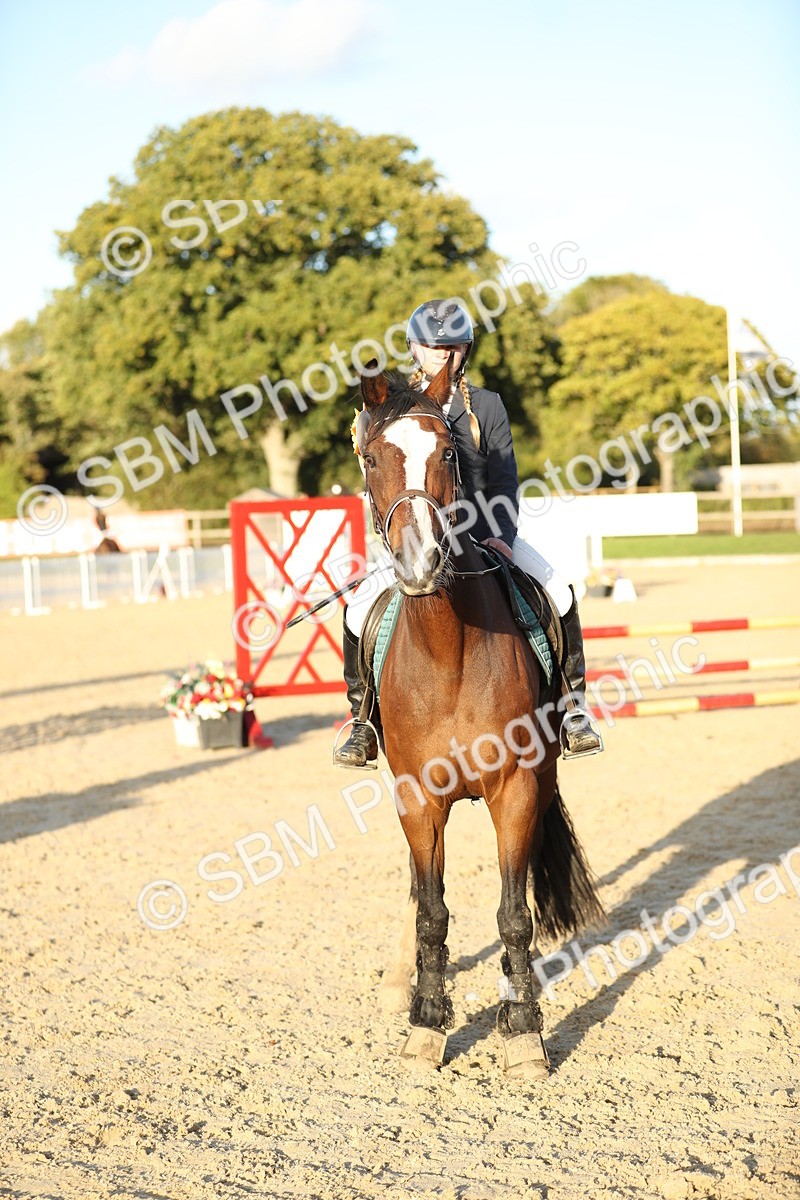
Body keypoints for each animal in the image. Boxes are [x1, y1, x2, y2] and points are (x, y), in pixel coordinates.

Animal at [356, 359, 605, 1076]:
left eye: (447, 454)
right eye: (373, 458)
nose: (420, 564)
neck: (449, 649)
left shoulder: (516, 790)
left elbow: (514, 913)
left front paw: (522, 1030)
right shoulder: (416, 798)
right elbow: (432, 909)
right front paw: (425, 1023)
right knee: (419, 890)